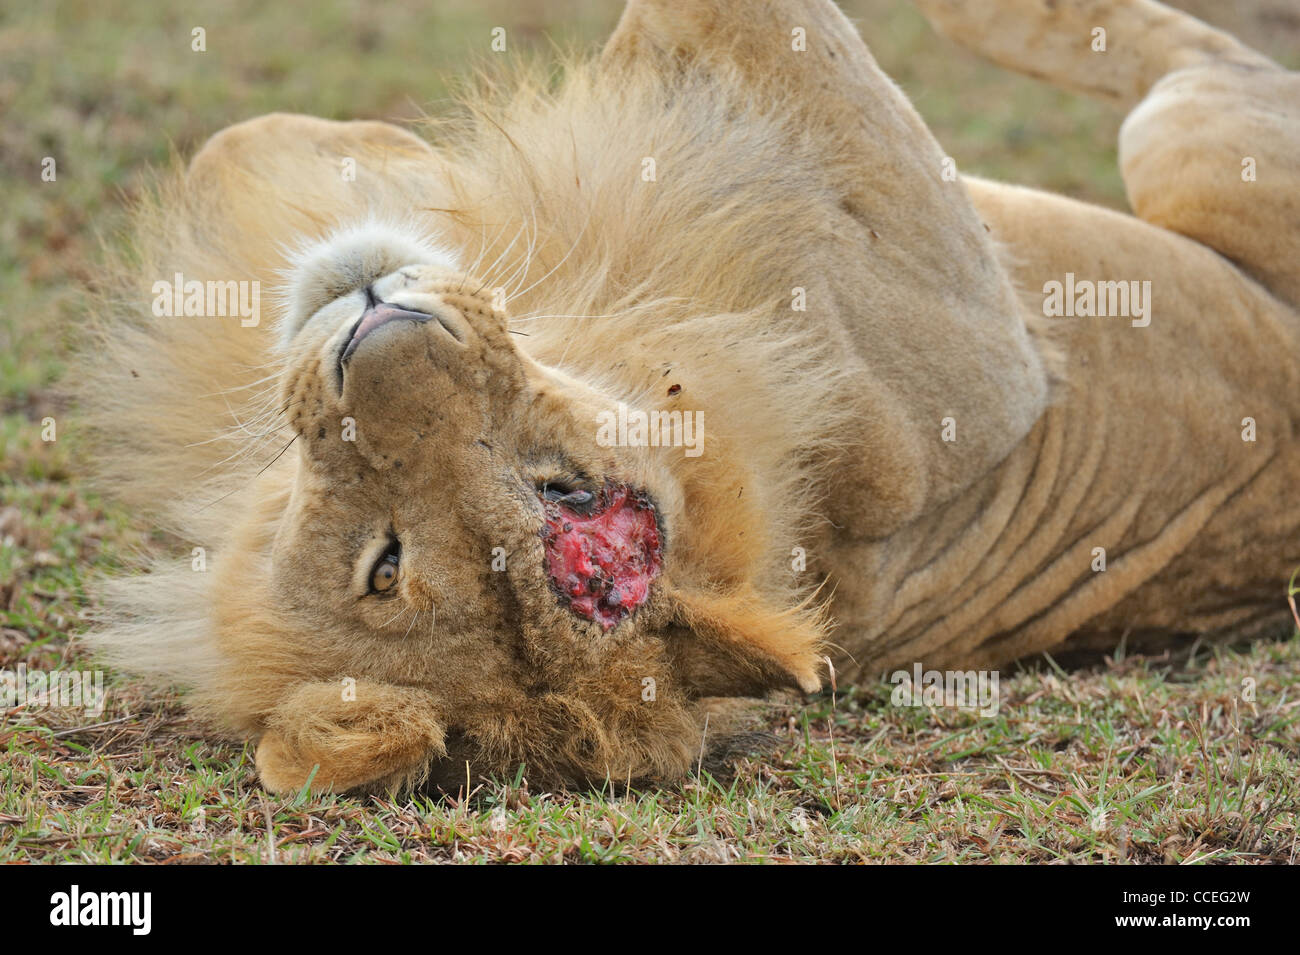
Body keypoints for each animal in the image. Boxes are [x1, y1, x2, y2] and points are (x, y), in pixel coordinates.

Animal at [79, 0, 1300, 794]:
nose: (378, 329)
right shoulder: (984, 348)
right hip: (1183, 142)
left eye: (564, 491)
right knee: (1194, 66)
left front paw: (372, 161)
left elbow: (243, 145)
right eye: (387, 563)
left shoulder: (989, 359)